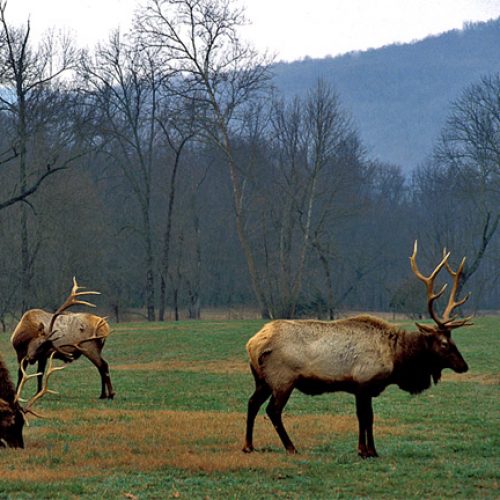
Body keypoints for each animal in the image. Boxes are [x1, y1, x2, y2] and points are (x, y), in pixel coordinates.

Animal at [242, 242, 472, 458]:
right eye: (444, 343)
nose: (464, 366)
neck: (397, 359)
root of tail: (252, 344)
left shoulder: (363, 388)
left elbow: (367, 418)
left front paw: (371, 450)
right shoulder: (364, 382)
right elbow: (365, 417)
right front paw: (365, 450)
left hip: (262, 380)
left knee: (252, 403)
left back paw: (248, 446)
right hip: (283, 379)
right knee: (273, 410)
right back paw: (290, 447)